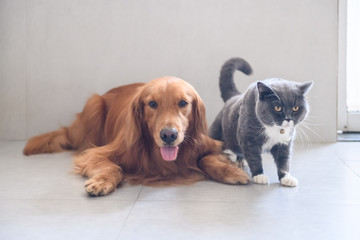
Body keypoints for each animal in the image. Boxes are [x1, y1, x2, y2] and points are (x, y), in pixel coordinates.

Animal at [23, 77, 250, 197]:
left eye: (183, 103)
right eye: (152, 104)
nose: (169, 135)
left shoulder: (207, 144)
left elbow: (208, 158)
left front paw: (231, 171)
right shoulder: (96, 154)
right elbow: (113, 167)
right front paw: (101, 181)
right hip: (94, 106)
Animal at [210, 57, 314, 187]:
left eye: (295, 108)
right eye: (277, 108)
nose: (288, 118)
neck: (275, 128)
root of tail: (234, 97)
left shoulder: (284, 142)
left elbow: (284, 160)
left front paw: (286, 177)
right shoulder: (248, 137)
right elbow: (254, 157)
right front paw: (259, 175)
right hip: (218, 131)